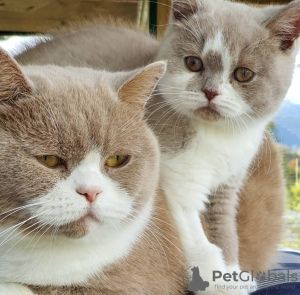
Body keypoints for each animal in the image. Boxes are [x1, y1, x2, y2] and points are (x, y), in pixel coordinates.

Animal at [15, 1, 288, 278]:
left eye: (244, 74)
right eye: (193, 63)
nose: (210, 92)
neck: (216, 136)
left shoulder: (229, 181)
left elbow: (224, 226)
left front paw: (232, 272)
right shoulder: (173, 175)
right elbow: (191, 225)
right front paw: (213, 273)